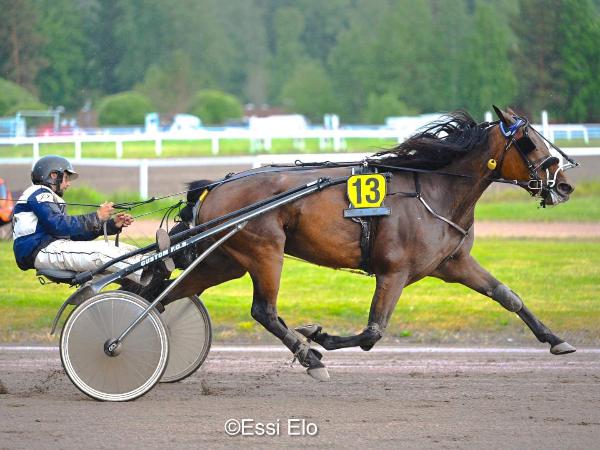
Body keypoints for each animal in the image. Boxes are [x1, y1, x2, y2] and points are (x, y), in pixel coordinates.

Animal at [166, 106, 576, 381]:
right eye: (528, 143)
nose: (565, 185)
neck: (435, 190)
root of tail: (216, 186)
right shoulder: (394, 271)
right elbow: (372, 332)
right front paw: (317, 337)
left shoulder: (453, 263)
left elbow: (508, 297)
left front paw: (556, 339)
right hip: (264, 251)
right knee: (263, 311)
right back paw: (309, 359)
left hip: (224, 260)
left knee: (173, 291)